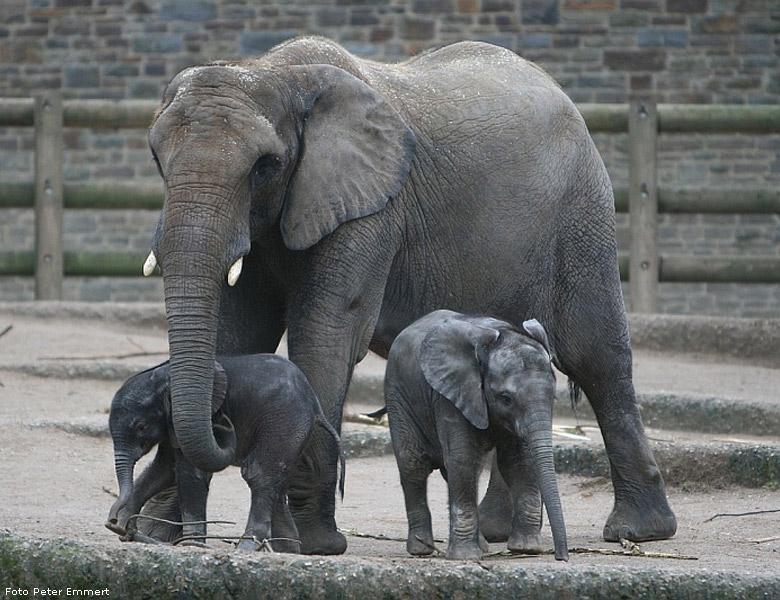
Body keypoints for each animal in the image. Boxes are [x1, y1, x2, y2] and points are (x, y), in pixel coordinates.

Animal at [105, 352, 342, 552]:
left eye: (141, 427)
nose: (112, 520)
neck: (163, 376)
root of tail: (315, 406)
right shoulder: (170, 426)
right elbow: (163, 470)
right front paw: (120, 527)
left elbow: (190, 472)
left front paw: (192, 546)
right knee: (278, 484)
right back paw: (285, 550)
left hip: (284, 422)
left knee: (258, 475)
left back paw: (247, 548)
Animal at [386, 312, 568, 560]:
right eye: (506, 398)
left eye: (553, 396)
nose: (561, 556)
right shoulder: (450, 395)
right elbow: (463, 459)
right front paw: (465, 557)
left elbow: (518, 462)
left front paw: (526, 548)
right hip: (398, 395)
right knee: (413, 464)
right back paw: (421, 549)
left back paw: (481, 547)